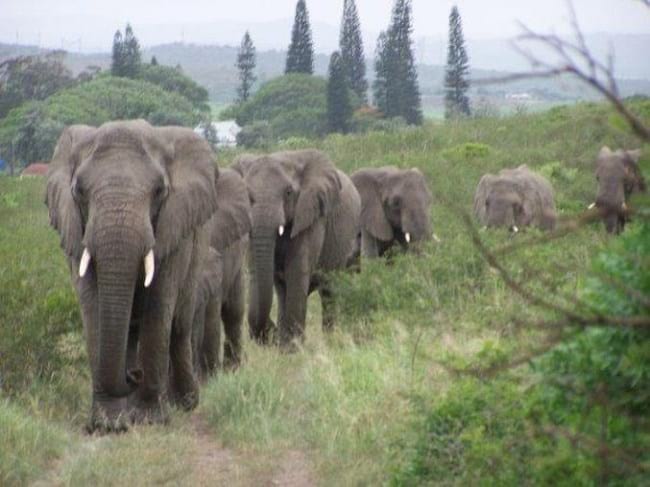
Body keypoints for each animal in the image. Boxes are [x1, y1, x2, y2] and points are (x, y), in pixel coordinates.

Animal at [46, 120, 218, 432]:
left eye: (160, 191)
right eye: (78, 191)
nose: (133, 375)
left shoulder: (172, 229)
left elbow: (158, 307)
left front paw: (150, 421)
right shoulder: (77, 233)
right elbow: (93, 307)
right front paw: (108, 425)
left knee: (179, 326)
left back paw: (184, 403)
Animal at [230, 151, 360, 348]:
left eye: (288, 192)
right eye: (247, 194)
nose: (272, 332)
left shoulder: (311, 215)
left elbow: (297, 271)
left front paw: (293, 349)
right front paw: (287, 346)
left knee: (328, 290)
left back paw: (329, 340)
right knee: (283, 290)